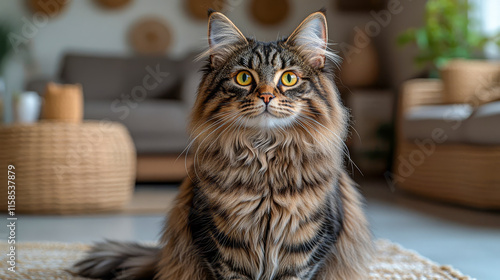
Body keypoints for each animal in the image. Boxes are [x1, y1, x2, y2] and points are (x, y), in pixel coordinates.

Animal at [73, 9, 372, 280]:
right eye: (244, 78)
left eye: (288, 78)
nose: (266, 96)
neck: (265, 157)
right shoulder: (221, 243)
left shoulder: (307, 246)